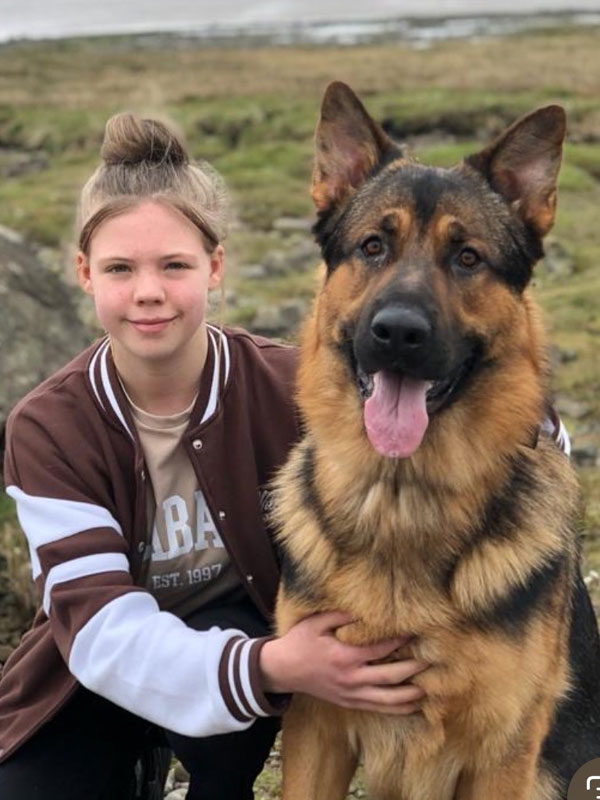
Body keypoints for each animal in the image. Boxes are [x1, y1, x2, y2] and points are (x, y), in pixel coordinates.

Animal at [274, 83, 600, 800]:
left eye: (468, 257)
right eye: (372, 246)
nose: (398, 332)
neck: (401, 499)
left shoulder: (504, 753)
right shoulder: (317, 723)